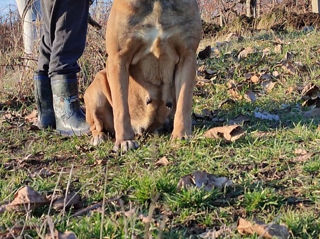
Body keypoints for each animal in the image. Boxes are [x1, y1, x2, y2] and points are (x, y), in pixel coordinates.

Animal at [84, 0, 201, 151]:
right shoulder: (118, 58)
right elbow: (121, 107)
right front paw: (125, 140)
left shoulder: (187, 55)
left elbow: (184, 102)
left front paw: (181, 135)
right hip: (96, 89)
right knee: (97, 125)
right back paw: (98, 137)